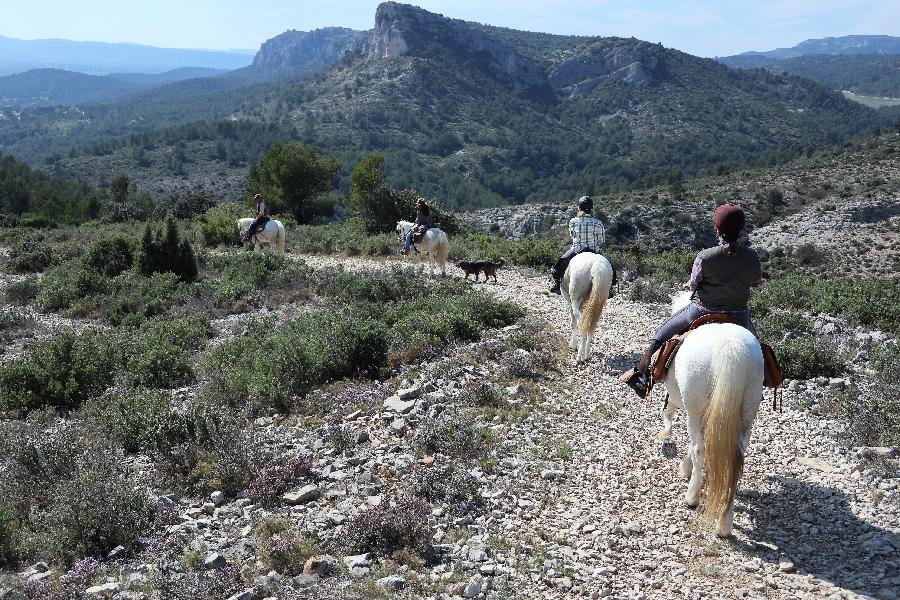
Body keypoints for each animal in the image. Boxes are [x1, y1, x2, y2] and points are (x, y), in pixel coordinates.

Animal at [652, 292, 768, 536]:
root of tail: (730, 347)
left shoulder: (687, 407)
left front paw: (685, 469)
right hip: (746, 417)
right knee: (736, 461)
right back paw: (725, 524)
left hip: (695, 409)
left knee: (700, 449)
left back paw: (692, 498)